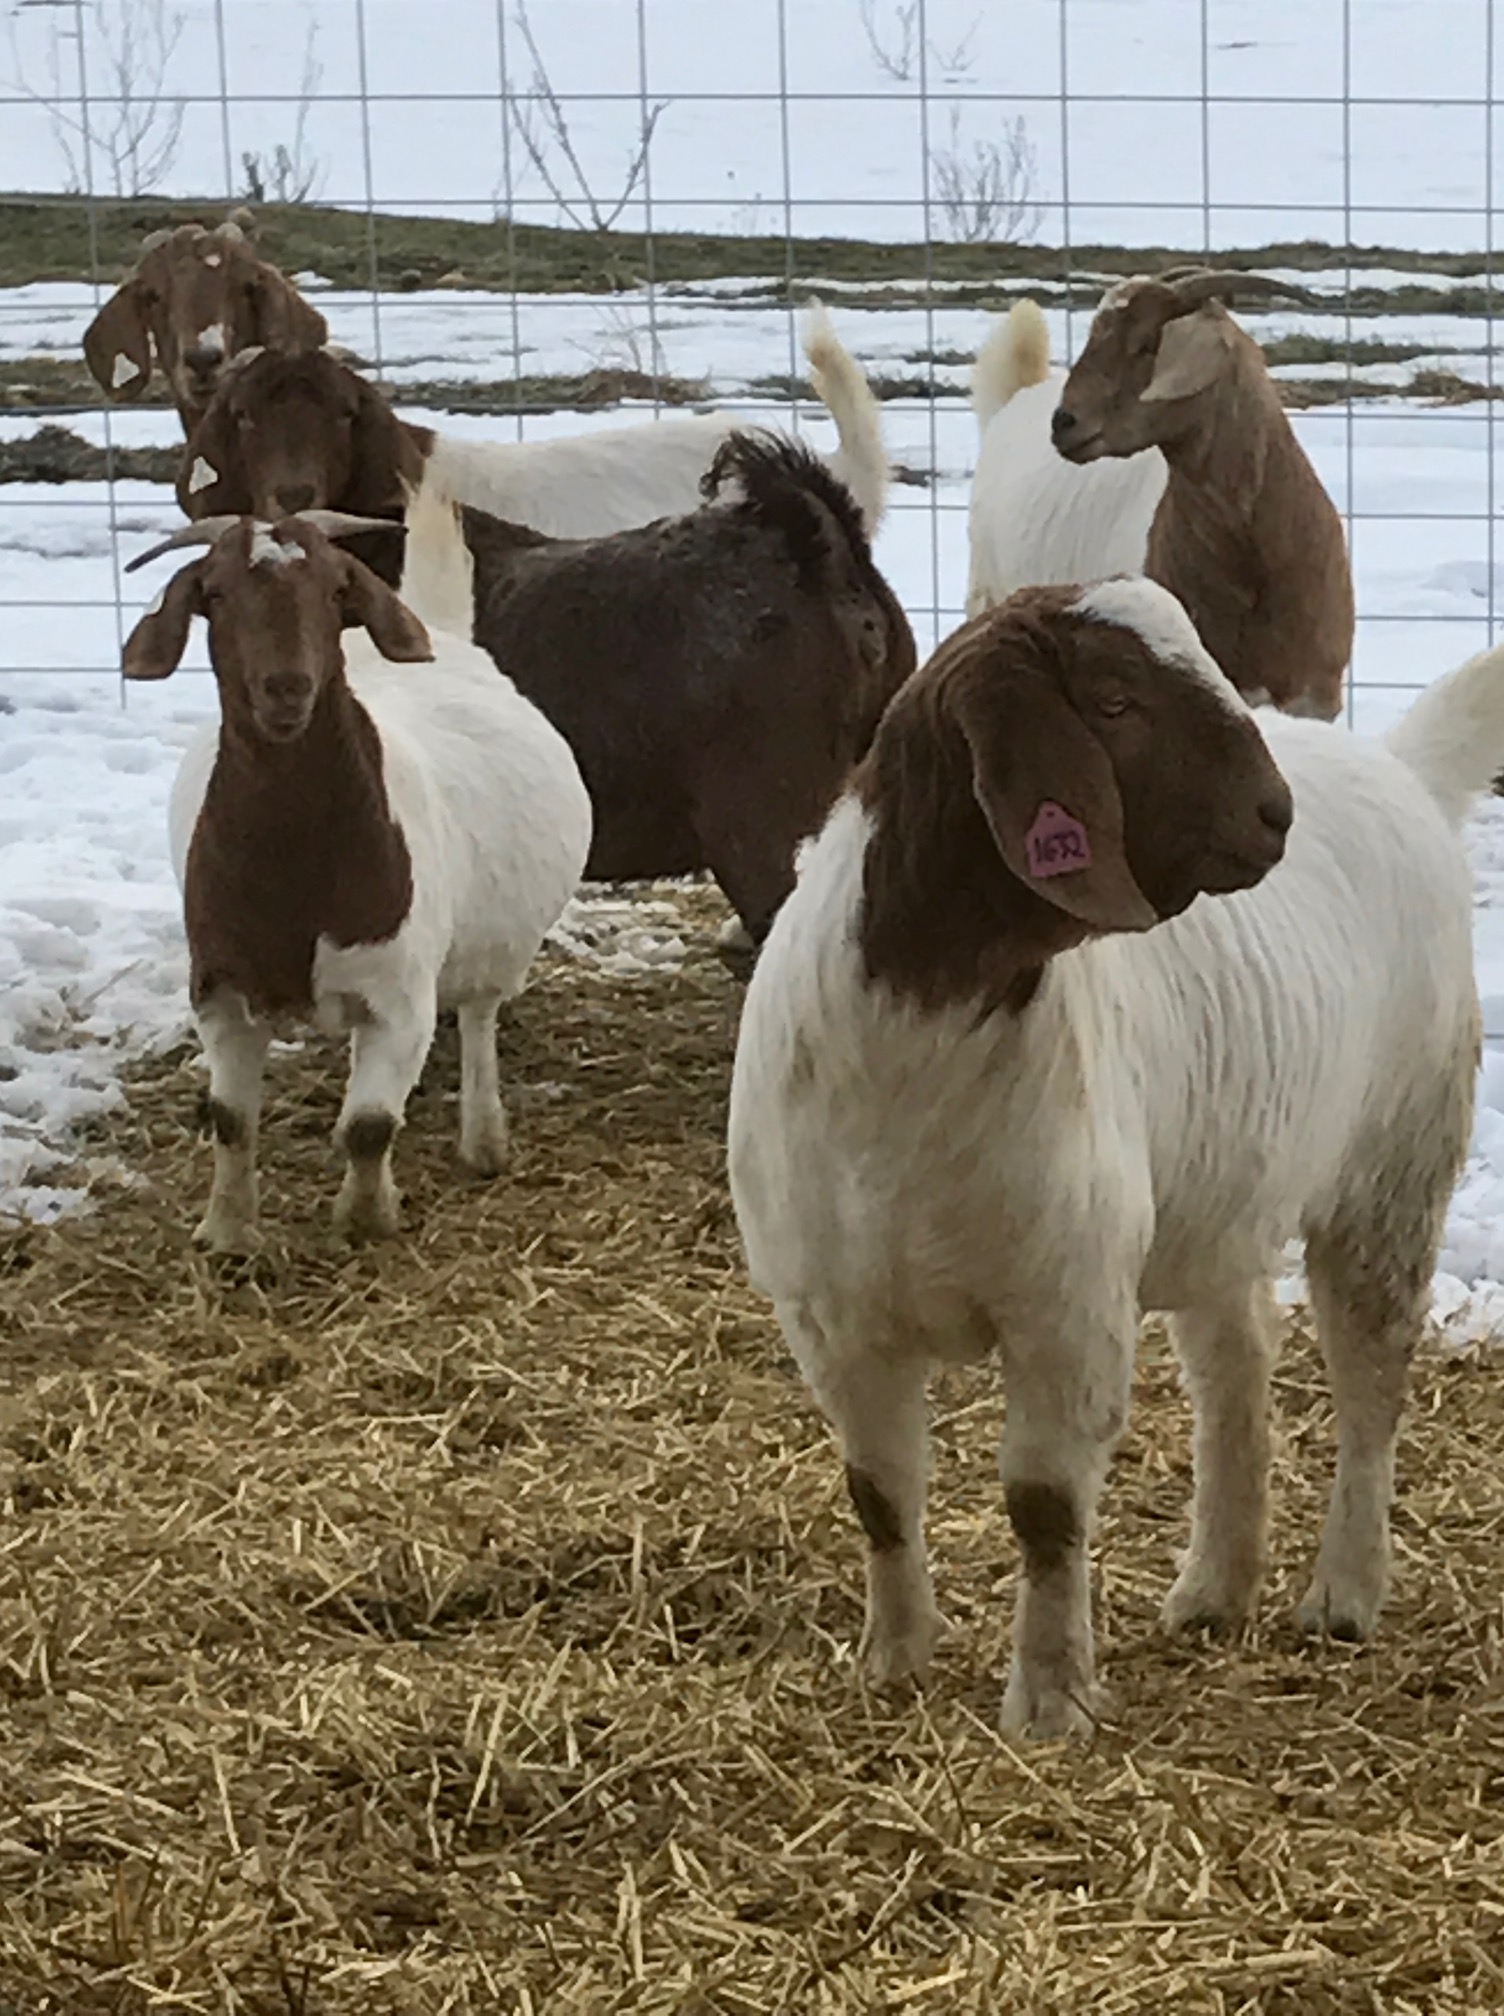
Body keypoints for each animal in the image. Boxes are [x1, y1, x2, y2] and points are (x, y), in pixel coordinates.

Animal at [121, 511, 591, 1251]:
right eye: (214, 592)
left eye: (338, 589)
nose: (287, 688)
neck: (294, 870)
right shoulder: (219, 990)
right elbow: (230, 1118)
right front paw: (227, 1230)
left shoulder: (400, 996)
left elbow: (369, 1128)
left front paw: (367, 1217)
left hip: (493, 946)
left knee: (479, 1017)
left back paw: (483, 1141)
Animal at [728, 574, 1502, 1739]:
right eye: (1113, 701)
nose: (1274, 815)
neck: (914, 1036)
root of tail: (1396, 767)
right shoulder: (832, 1315)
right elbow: (879, 1494)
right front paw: (893, 1661)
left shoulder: (1066, 1301)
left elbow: (1044, 1509)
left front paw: (1049, 1701)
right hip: (1218, 1197)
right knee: (1236, 1371)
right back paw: (1215, 1585)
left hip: (1393, 1166)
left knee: (1370, 1379)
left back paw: (1341, 1594)